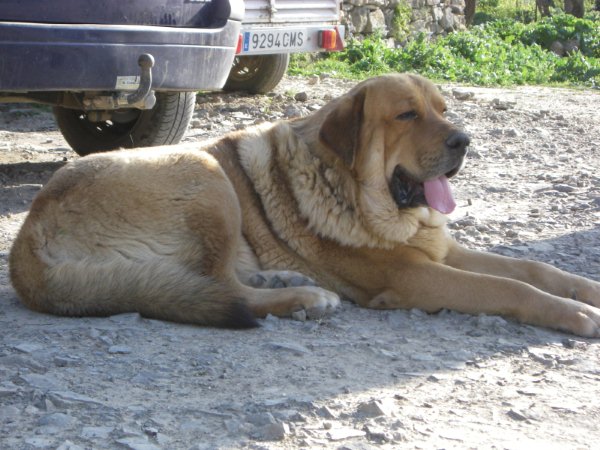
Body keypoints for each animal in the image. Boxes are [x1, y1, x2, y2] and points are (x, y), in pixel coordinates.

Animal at [8, 74, 600, 336]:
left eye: (441, 108)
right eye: (406, 115)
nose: (465, 141)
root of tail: (25, 243)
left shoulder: (441, 251)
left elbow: (533, 268)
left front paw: (585, 290)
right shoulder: (415, 276)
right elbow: (510, 288)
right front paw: (573, 314)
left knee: (216, 279)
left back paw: (284, 280)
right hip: (206, 177)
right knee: (220, 290)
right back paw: (303, 298)